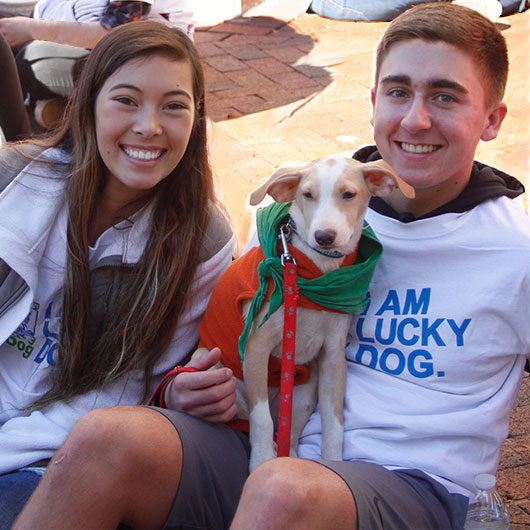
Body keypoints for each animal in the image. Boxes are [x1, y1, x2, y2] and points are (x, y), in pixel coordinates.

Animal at [196, 155, 410, 468]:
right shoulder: (256, 346)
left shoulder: (333, 357)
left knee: (290, 435)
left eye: (349, 194)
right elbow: (261, 420)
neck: (314, 272)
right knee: (253, 418)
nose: (324, 236)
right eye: (307, 195)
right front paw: (261, 461)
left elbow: (334, 423)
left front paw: (333, 463)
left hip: (304, 394)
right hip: (215, 370)